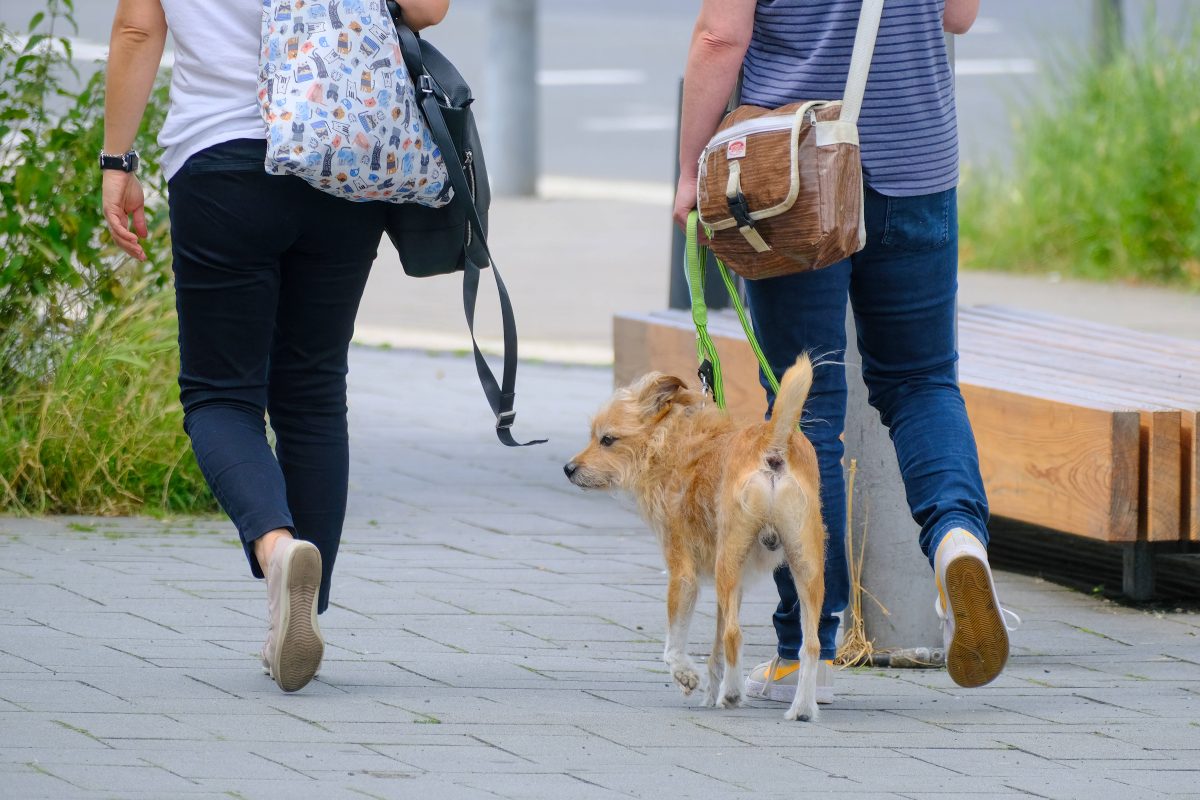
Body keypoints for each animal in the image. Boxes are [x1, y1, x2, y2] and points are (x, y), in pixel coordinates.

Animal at [561, 357, 825, 719]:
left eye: (607, 440)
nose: (568, 468)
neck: (670, 442)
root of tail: (773, 442)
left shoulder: (683, 572)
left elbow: (675, 643)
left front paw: (686, 675)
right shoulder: (735, 585)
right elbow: (715, 651)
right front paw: (710, 691)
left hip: (729, 560)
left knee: (734, 634)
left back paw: (733, 693)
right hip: (805, 566)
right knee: (810, 644)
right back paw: (801, 707)